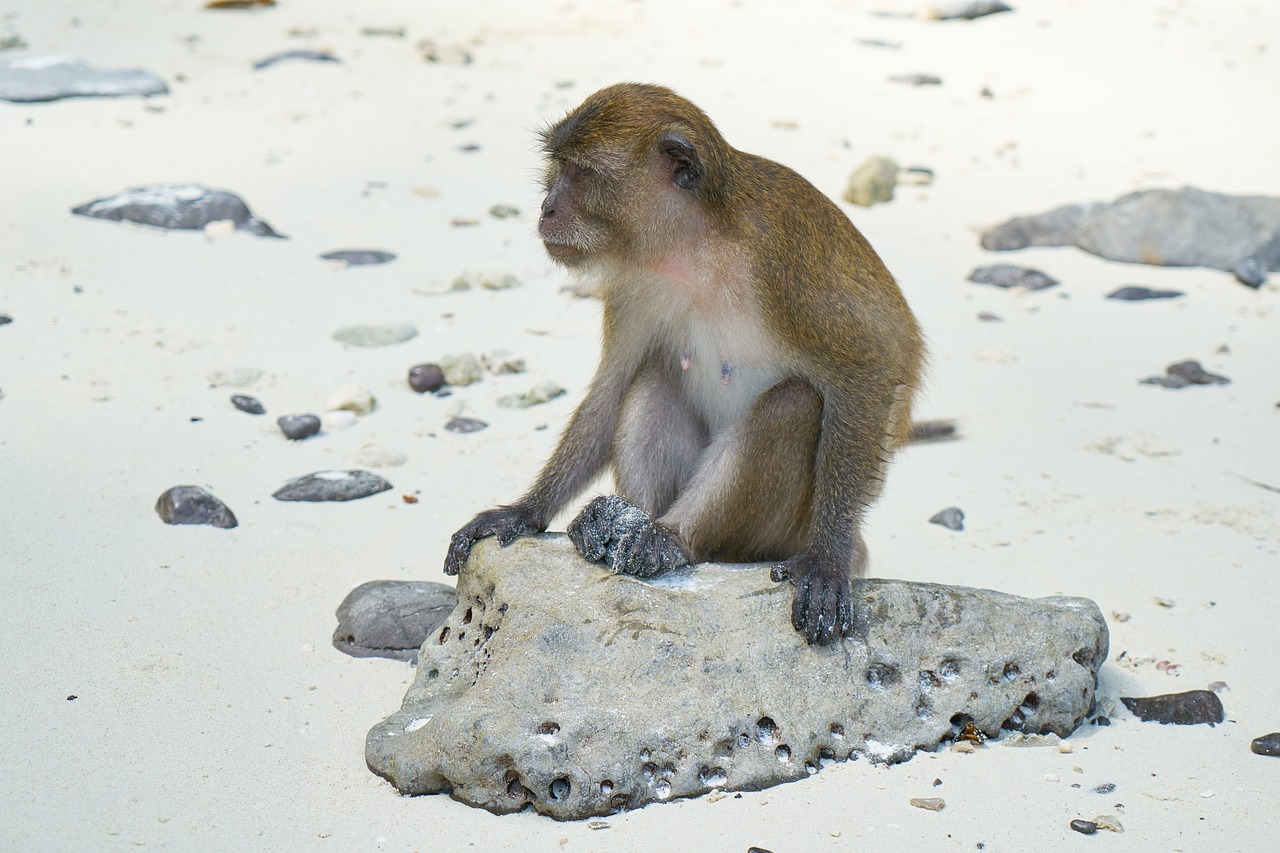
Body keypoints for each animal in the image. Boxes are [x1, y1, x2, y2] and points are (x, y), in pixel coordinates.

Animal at [445, 84, 926, 645]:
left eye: (581, 171)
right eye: (557, 166)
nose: (546, 207)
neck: (695, 244)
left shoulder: (782, 258)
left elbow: (872, 365)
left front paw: (829, 559)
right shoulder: (633, 282)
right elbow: (612, 388)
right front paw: (522, 512)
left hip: (783, 529)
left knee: (795, 401)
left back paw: (674, 539)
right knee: (654, 376)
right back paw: (625, 525)